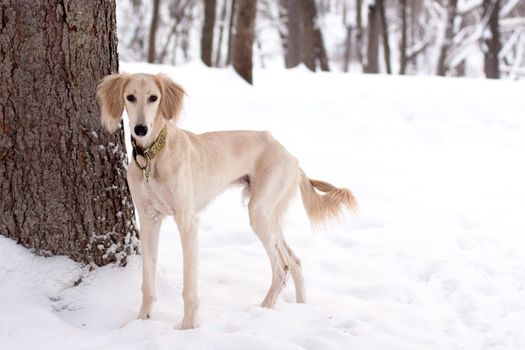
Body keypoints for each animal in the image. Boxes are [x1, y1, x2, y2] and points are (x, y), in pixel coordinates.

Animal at [97, 72, 356, 330]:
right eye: (130, 97)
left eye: (153, 97)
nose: (140, 129)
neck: (152, 157)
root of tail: (291, 157)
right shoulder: (149, 219)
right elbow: (148, 283)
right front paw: (141, 322)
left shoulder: (187, 221)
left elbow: (189, 286)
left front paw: (188, 328)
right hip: (270, 214)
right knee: (294, 261)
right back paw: (300, 308)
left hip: (259, 212)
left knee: (281, 268)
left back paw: (263, 310)